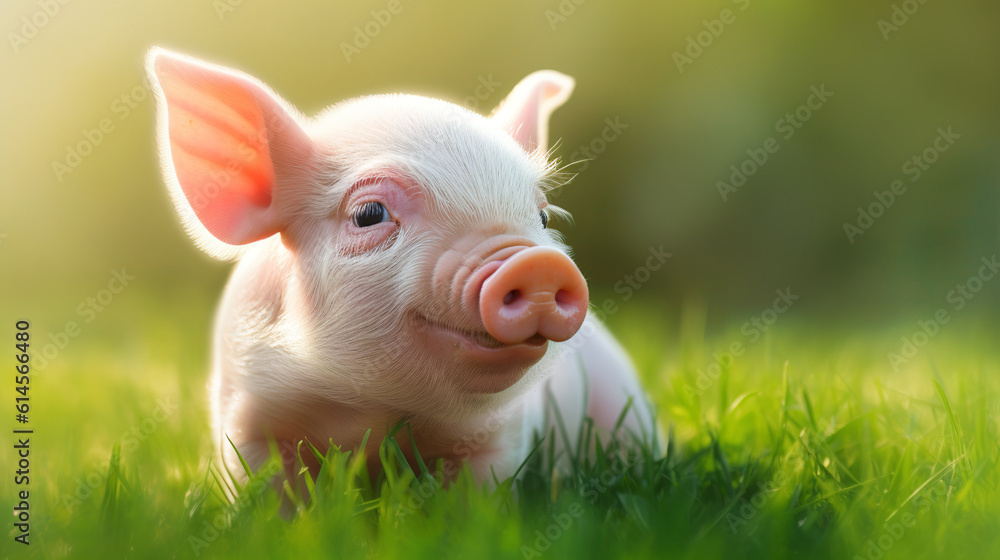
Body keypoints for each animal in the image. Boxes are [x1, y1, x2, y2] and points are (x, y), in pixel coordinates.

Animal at [145, 47, 659, 489]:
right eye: (369, 213)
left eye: (544, 217)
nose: (538, 262)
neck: (368, 410)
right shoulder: (249, 415)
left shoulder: (500, 434)